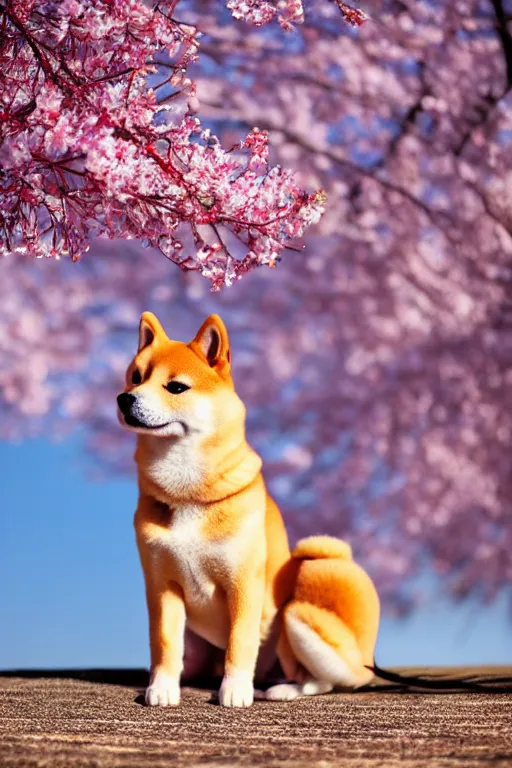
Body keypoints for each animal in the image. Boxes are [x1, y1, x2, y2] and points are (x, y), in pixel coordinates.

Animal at [117, 312, 380, 708]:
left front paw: (235, 689)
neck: (188, 494)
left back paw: (280, 689)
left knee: (324, 679)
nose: (124, 398)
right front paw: (161, 688)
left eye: (175, 387)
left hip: (301, 611)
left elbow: (240, 643)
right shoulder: (162, 586)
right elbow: (163, 644)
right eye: (135, 377)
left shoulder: (243, 582)